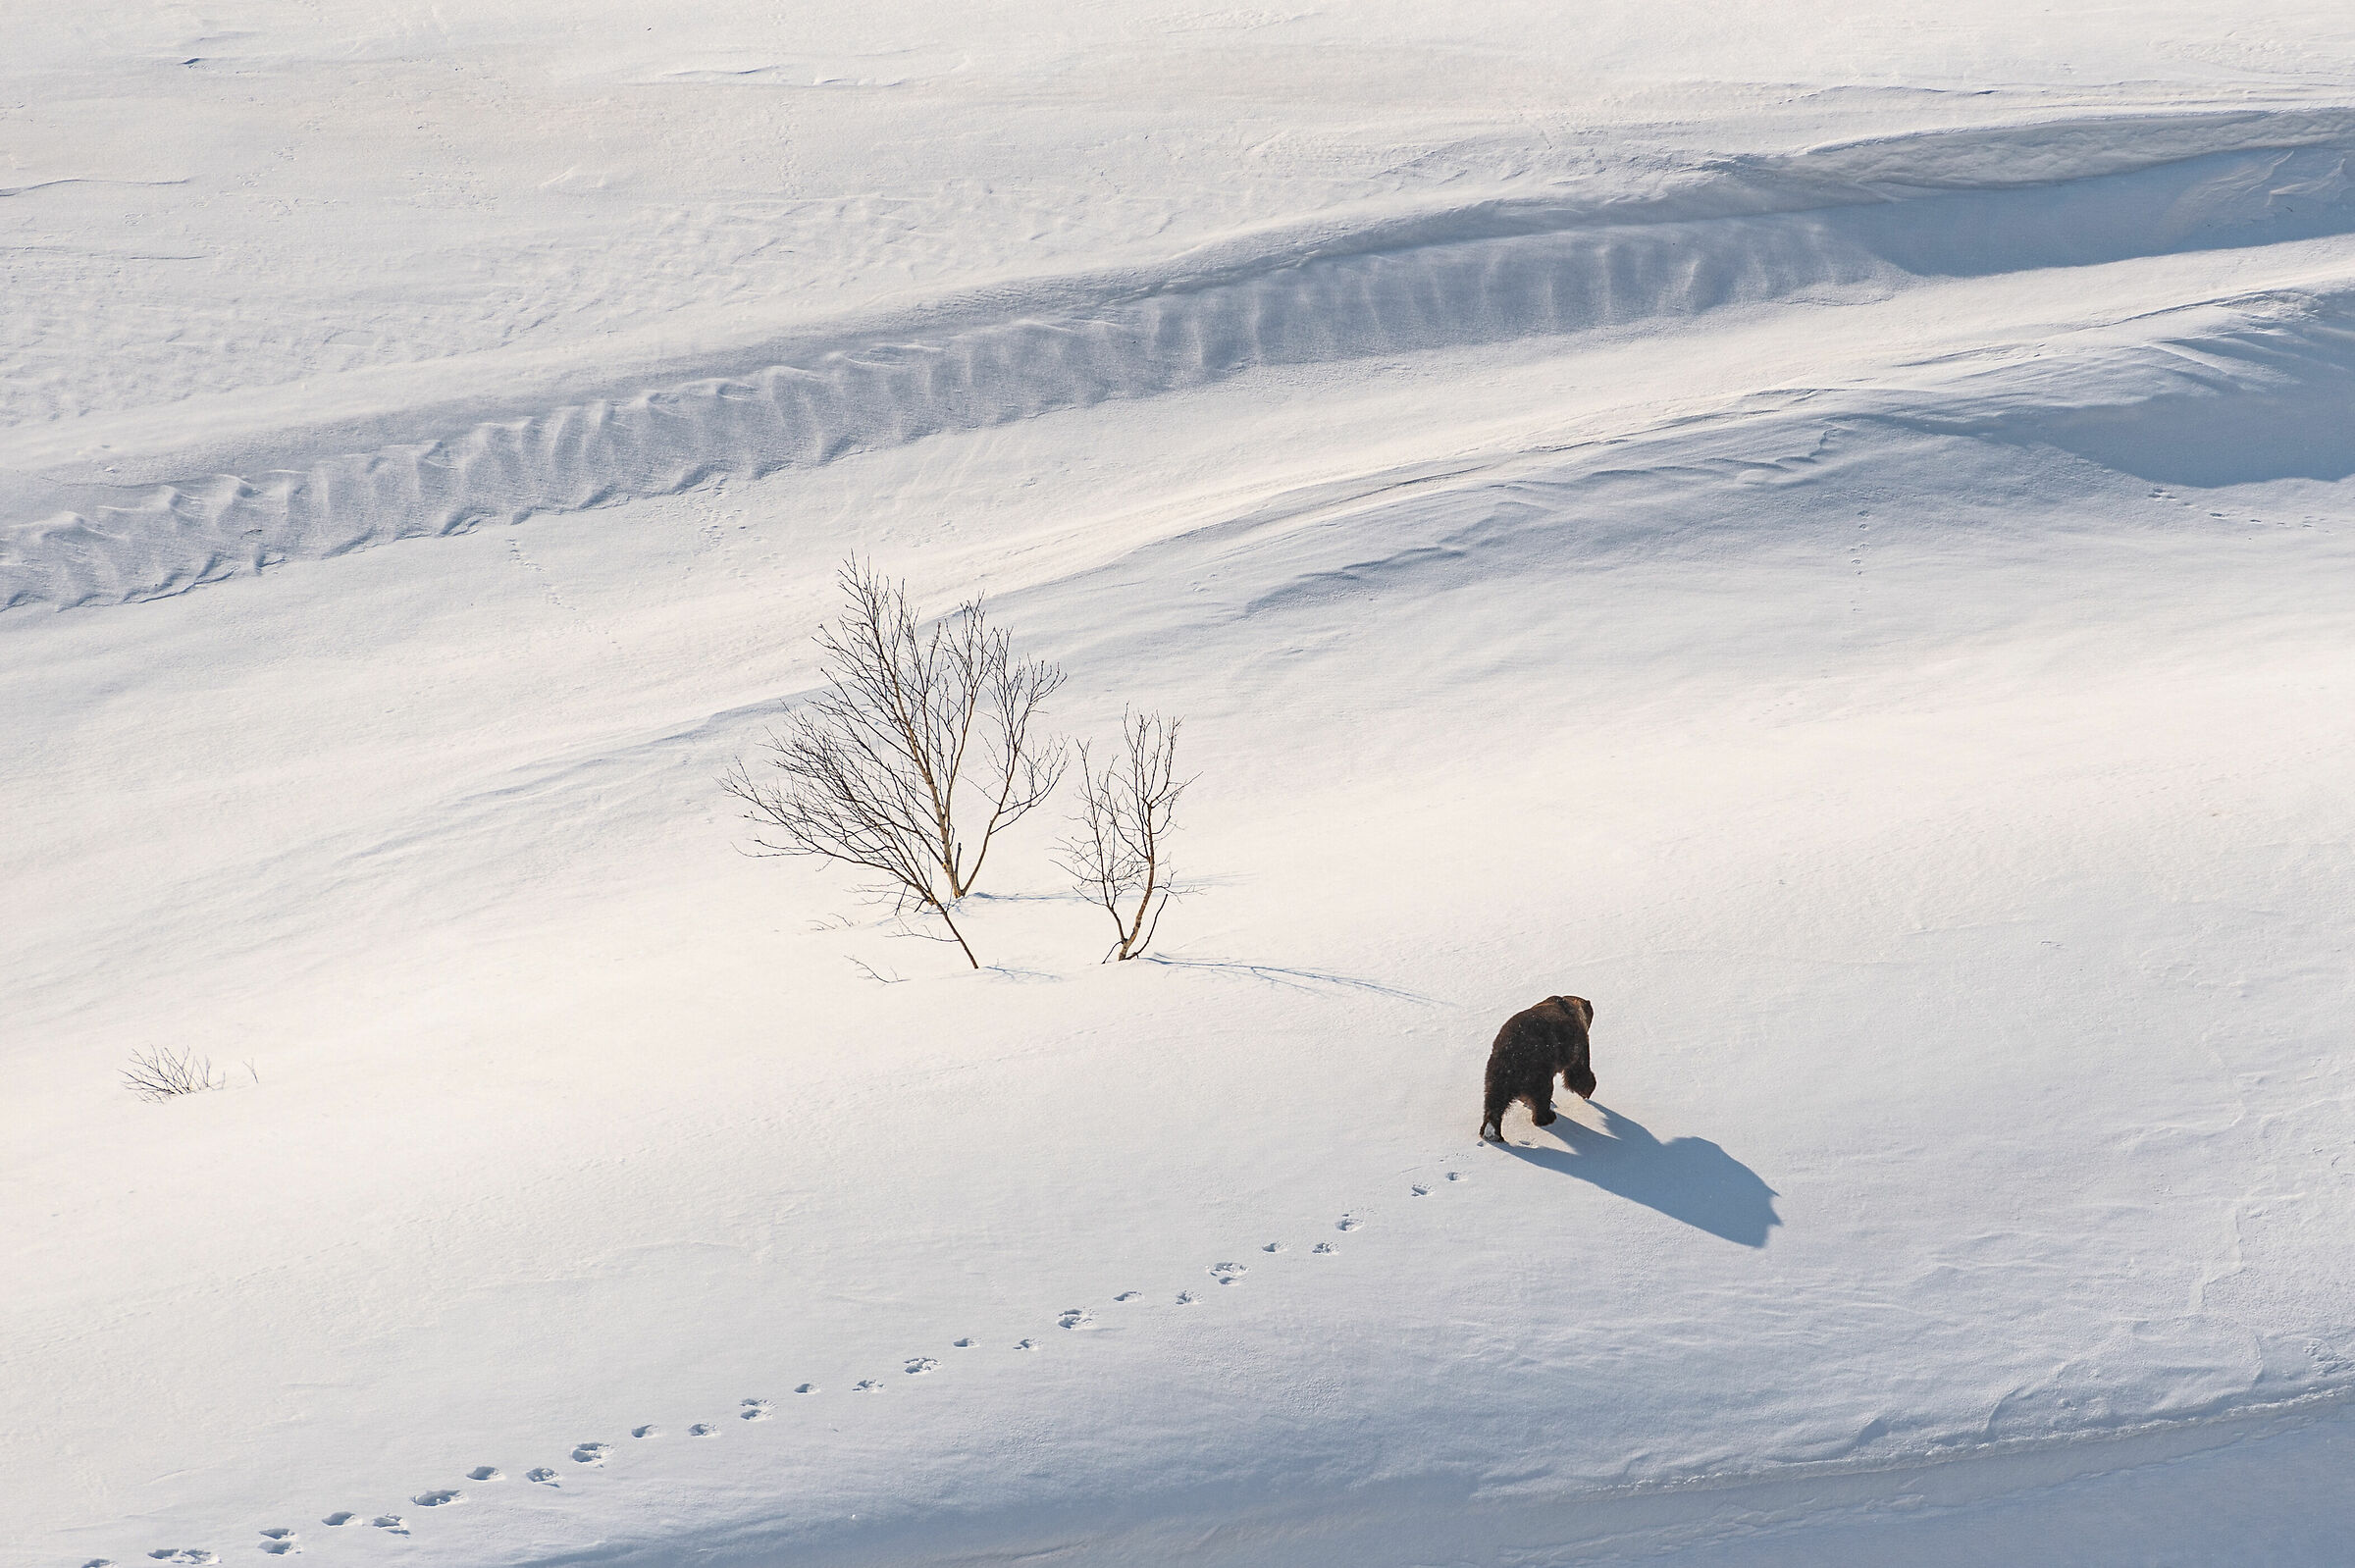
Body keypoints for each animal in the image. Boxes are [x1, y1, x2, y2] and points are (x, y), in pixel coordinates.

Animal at [1480, 995, 1596, 1142]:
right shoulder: (1578, 1041)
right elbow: (1578, 1070)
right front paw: (1588, 1090)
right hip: (1538, 1066)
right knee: (1542, 1093)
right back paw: (1547, 1117)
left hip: (1496, 1069)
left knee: (1494, 1097)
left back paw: (1491, 1131)